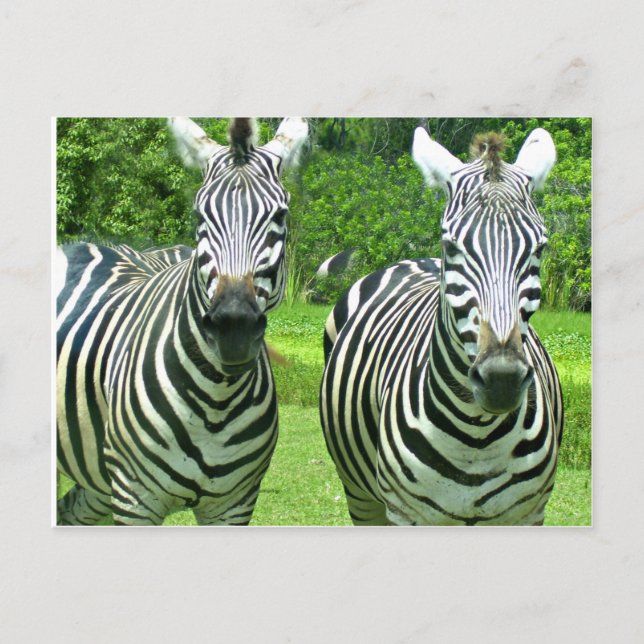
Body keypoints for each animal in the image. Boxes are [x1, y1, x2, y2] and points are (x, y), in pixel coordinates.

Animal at [56, 116, 308, 525]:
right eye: (200, 216)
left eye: (280, 215)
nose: (234, 329)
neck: (217, 401)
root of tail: (84, 244)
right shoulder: (135, 499)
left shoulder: (233, 505)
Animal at [320, 128, 563, 526]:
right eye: (452, 246)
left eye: (539, 249)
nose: (502, 379)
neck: (477, 437)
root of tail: (416, 259)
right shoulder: (405, 513)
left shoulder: (528, 514)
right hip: (360, 494)